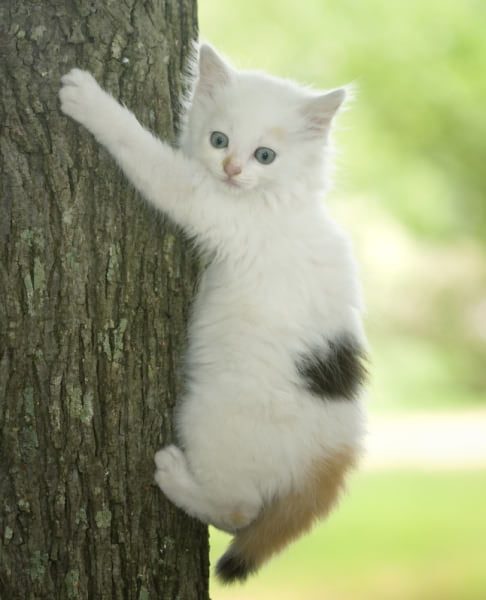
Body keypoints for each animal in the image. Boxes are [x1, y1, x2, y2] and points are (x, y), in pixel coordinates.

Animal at [58, 44, 366, 584]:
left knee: (240, 508)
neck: (277, 199)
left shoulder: (208, 202)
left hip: (211, 415)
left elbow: (152, 157)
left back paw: (176, 479)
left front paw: (89, 99)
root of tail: (334, 456)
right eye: (217, 140)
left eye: (265, 155)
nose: (231, 169)